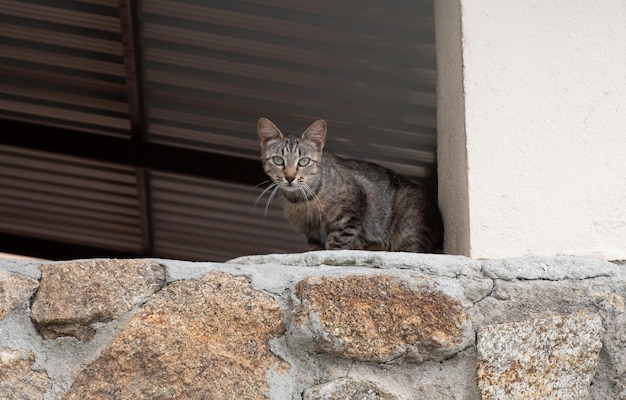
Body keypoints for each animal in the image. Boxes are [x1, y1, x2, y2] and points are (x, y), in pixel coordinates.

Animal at [256, 116, 442, 253]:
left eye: (303, 161)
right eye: (278, 160)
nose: (289, 177)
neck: (301, 200)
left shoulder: (350, 215)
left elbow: (336, 244)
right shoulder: (312, 234)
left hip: (409, 230)